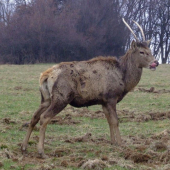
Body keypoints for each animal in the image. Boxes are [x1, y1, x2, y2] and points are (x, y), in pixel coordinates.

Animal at [20, 18, 159, 158]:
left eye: (150, 50)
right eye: (142, 52)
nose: (156, 62)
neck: (123, 79)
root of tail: (46, 75)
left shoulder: (103, 101)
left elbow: (109, 121)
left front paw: (113, 142)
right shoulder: (111, 97)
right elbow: (115, 121)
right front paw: (121, 144)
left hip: (46, 98)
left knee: (34, 117)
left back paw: (24, 147)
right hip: (61, 96)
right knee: (44, 118)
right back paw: (41, 151)